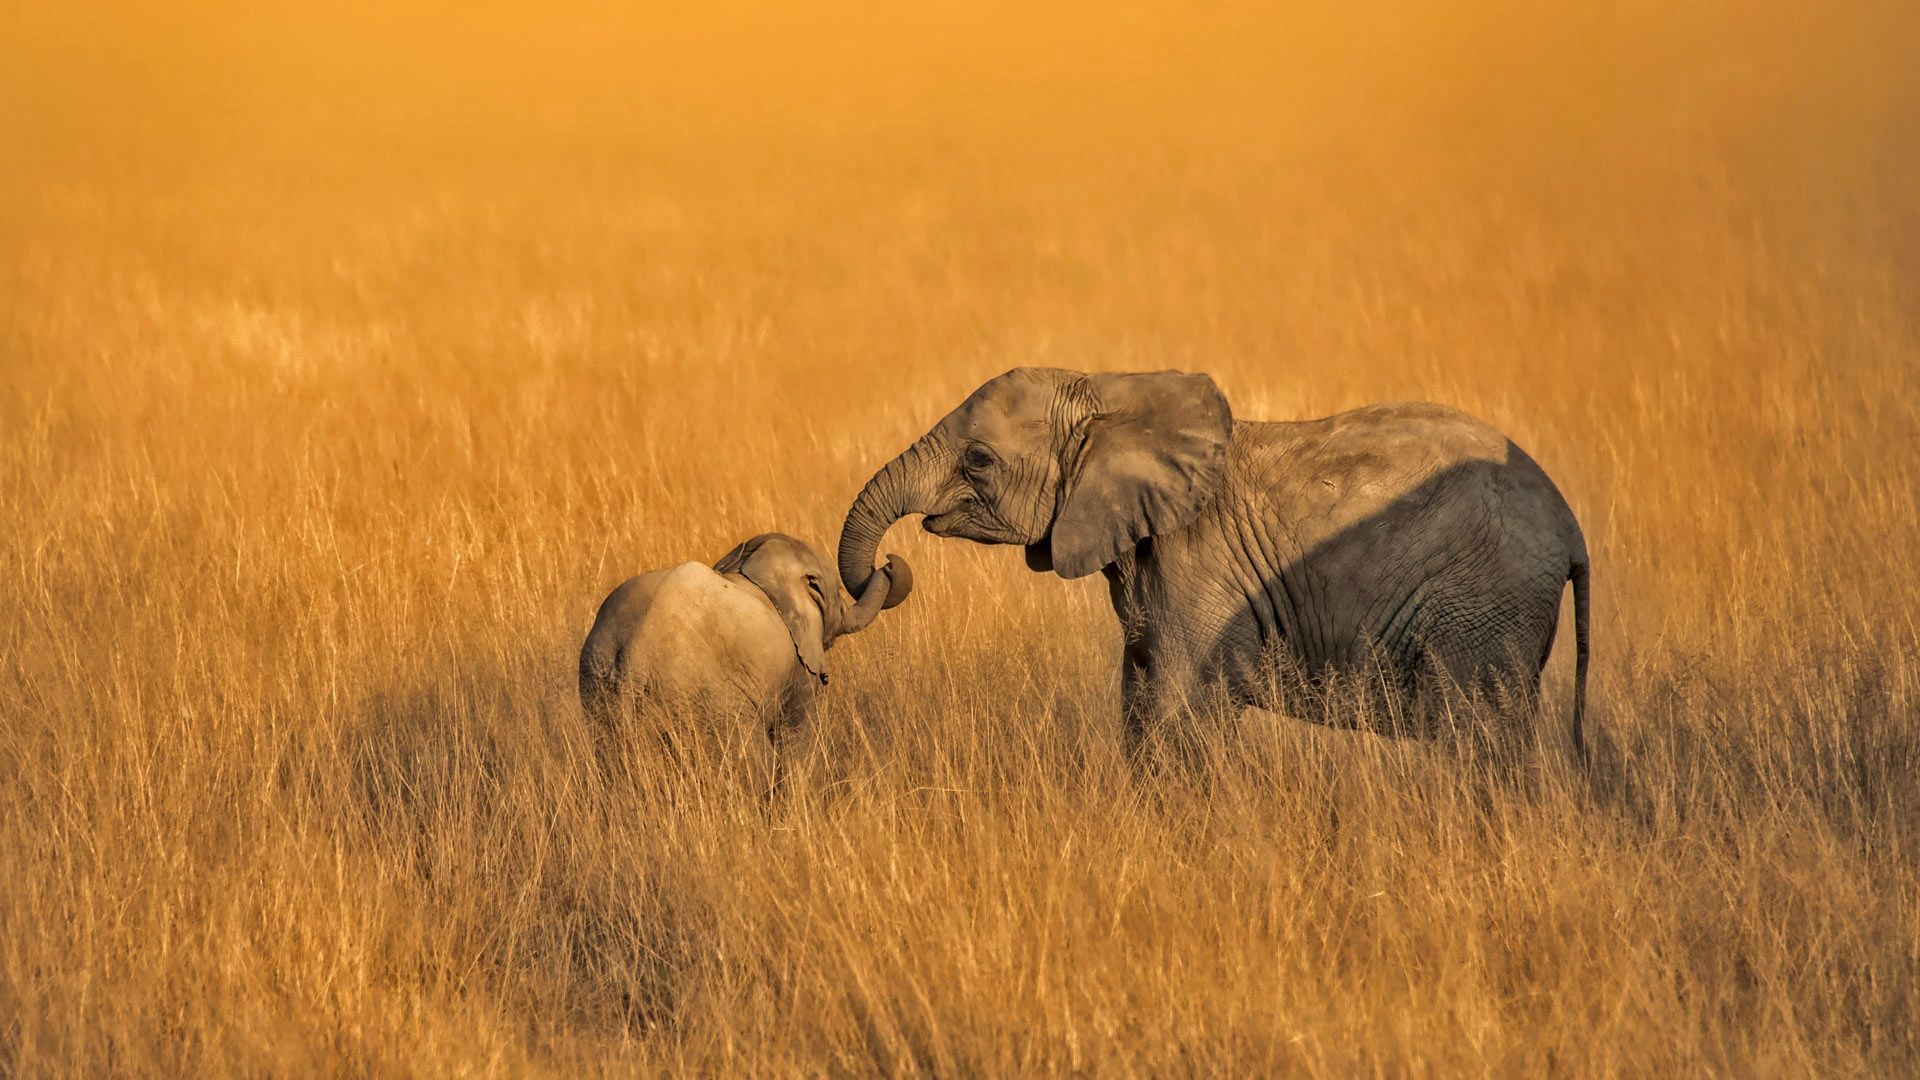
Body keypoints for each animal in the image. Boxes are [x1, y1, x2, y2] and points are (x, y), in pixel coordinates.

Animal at [580, 533, 912, 786]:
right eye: (837, 593)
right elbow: (799, 738)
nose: (888, 562)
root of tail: (635, 655)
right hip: (709, 702)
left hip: (599, 682)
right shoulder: (799, 669)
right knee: (754, 763)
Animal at [838, 368, 1591, 756]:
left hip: (1481, 604)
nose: (890, 568)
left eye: (979, 461)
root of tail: (1570, 525)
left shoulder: (1198, 566)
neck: (1111, 393)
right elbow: (1140, 697)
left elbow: (1177, 707)